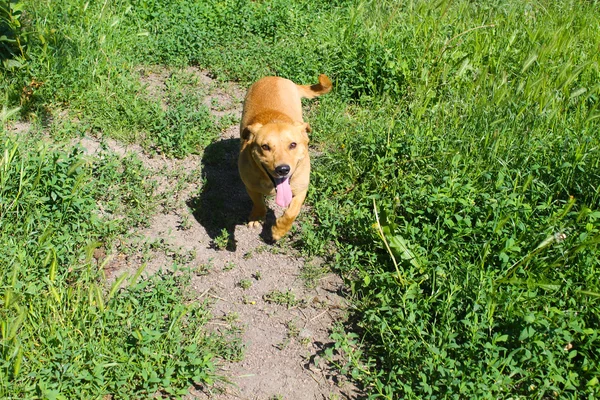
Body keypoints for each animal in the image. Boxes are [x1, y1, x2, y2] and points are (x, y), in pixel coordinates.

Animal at [238, 74, 332, 241]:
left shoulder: (301, 189)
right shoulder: (250, 185)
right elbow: (258, 202)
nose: (282, 169)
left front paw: (279, 230)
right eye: (265, 146)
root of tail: (273, 77)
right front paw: (257, 216)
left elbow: (292, 212)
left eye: (293, 145)